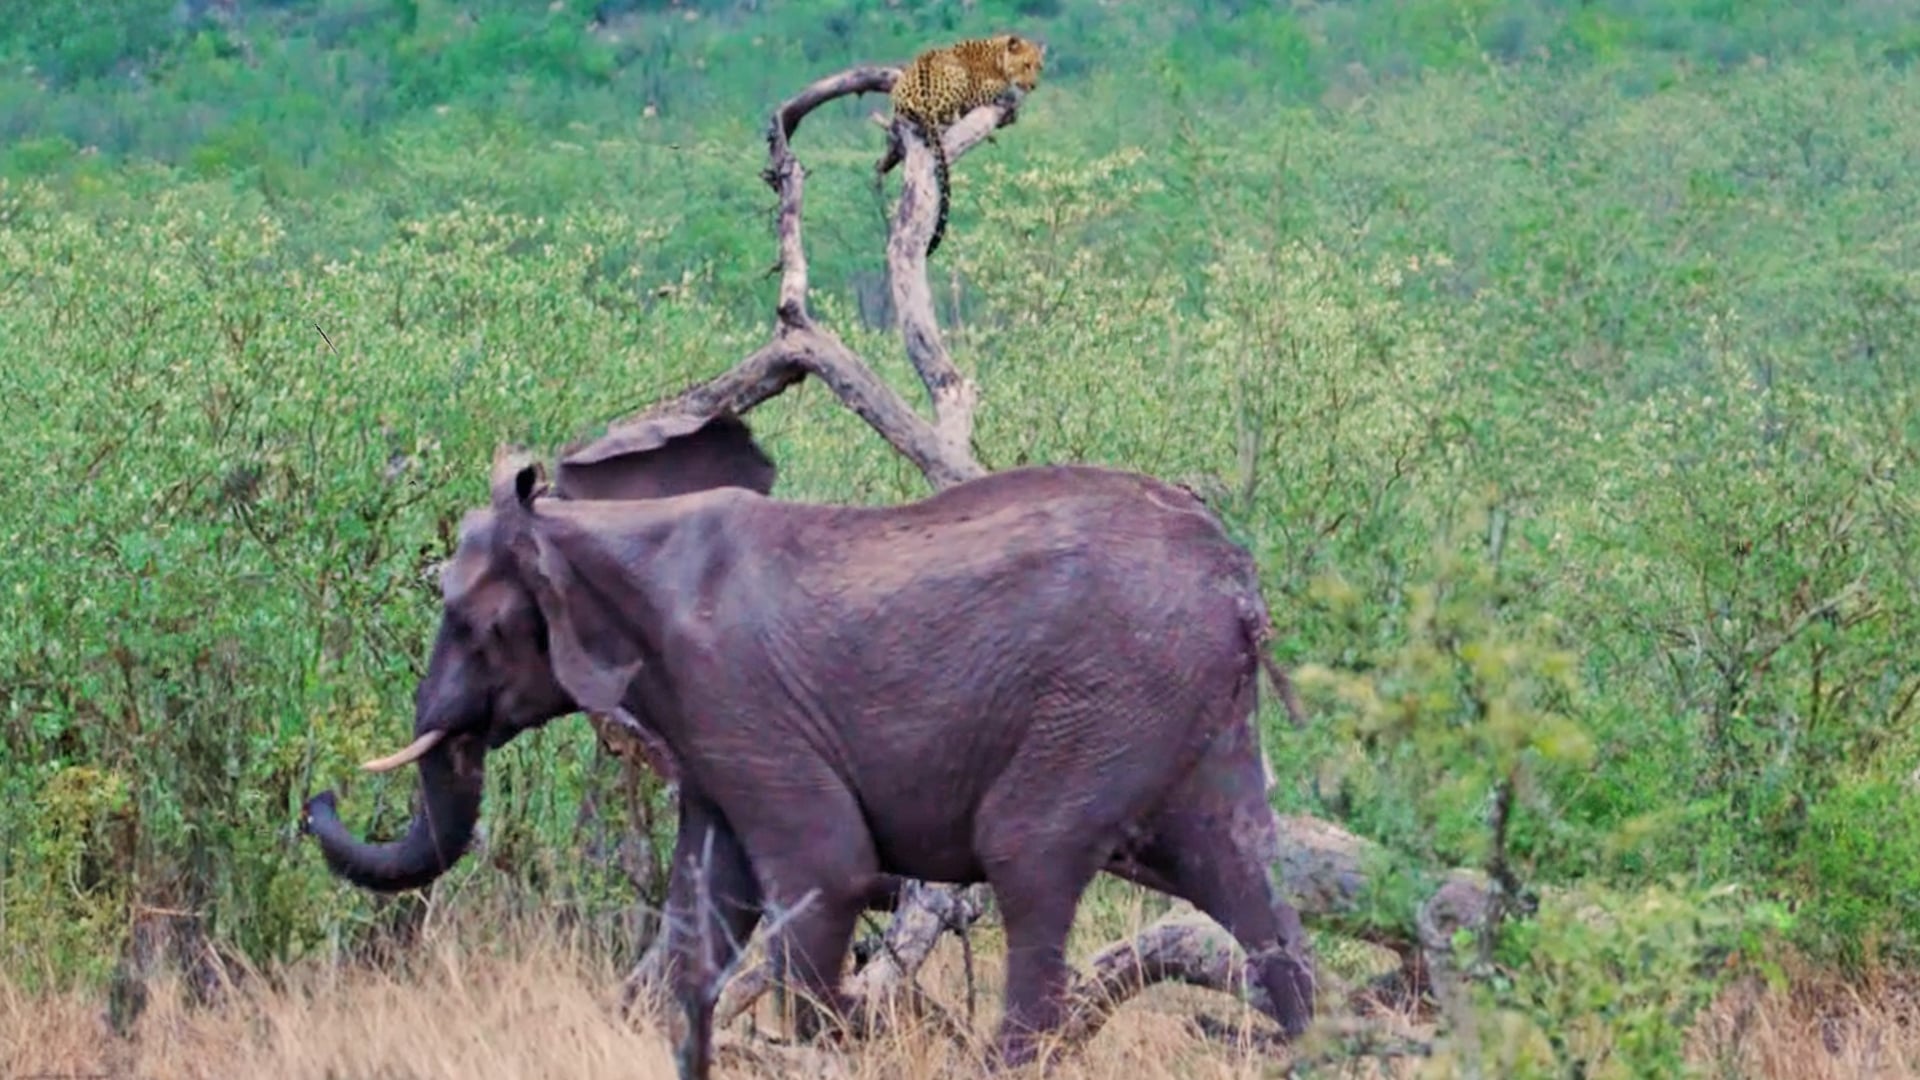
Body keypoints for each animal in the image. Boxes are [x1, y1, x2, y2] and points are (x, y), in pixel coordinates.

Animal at [300, 414, 1316, 1078]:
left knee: (1029, 857)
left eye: (472, 625)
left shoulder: (734, 694)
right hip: (1187, 708)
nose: (317, 800)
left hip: (1110, 697)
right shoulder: (703, 731)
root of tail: (1241, 584)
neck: (592, 529)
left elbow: (828, 873)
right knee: (1244, 877)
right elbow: (706, 907)